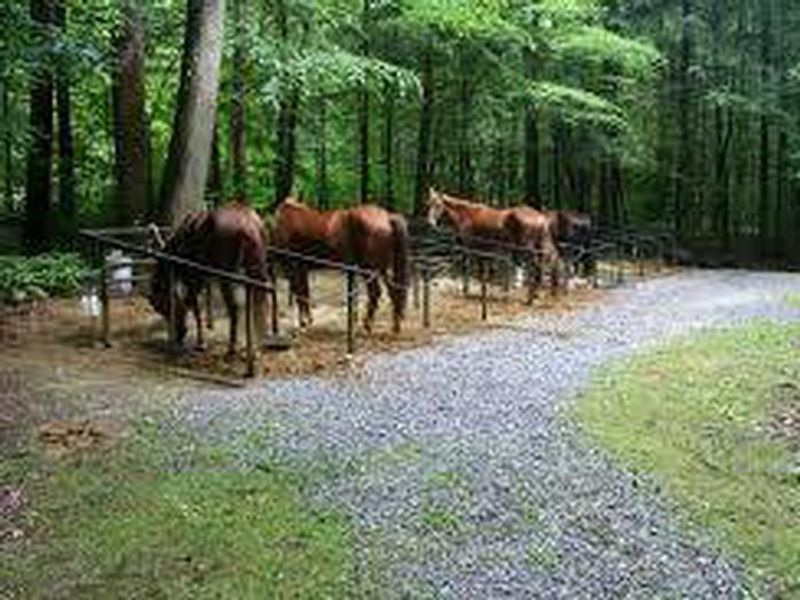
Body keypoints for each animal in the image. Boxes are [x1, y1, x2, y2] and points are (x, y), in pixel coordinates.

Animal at [148, 202, 271, 356]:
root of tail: (250, 227)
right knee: (259, 301)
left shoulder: (194, 275)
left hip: (226, 274)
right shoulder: (203, 278)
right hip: (257, 267)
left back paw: (233, 347)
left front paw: (201, 343)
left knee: (234, 307)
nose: (179, 334)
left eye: (160, 307)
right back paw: (255, 346)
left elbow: (194, 306)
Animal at [270, 198, 410, 334]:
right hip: (382, 269)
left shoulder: (294, 267)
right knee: (393, 291)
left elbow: (299, 294)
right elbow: (305, 292)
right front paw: (308, 320)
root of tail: (387, 217)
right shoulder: (302, 267)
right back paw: (395, 326)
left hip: (369, 269)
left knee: (375, 293)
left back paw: (368, 325)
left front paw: (303, 323)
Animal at [424, 188, 561, 298]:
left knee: (537, 267)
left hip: (527, 249)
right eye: (428, 204)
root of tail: (541, 217)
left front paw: (467, 290)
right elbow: (487, 270)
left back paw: (532, 296)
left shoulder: (472, 249)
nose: (430, 222)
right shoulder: (484, 250)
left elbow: (470, 268)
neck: (467, 216)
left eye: (438, 205)